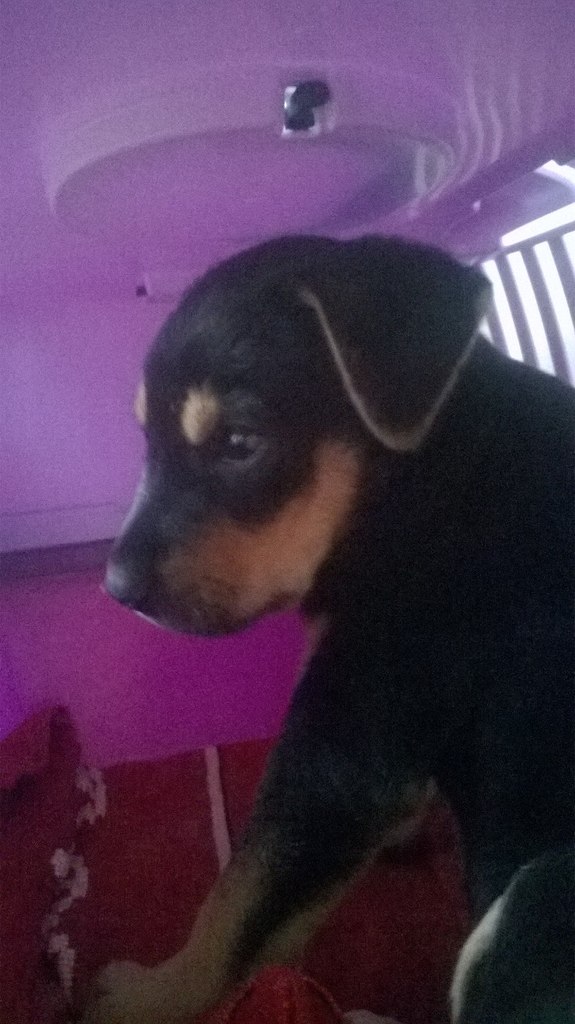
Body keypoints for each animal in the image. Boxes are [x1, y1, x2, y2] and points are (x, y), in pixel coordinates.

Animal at [84, 235, 574, 1024]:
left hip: (531, 899)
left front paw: (149, 995)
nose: (118, 589)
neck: (424, 483)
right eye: (147, 439)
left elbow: (238, 899)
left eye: (239, 442)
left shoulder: (342, 744)